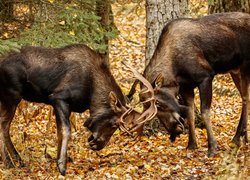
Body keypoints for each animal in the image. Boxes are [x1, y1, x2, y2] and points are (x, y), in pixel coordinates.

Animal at [0, 44, 137, 176]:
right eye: (114, 124)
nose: (99, 145)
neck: (91, 95)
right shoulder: (58, 98)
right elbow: (66, 130)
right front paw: (61, 166)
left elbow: (59, 132)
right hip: (12, 96)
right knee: (3, 125)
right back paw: (9, 163)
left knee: (5, 126)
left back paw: (17, 160)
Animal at [127, 11, 250, 157]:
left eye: (159, 103)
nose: (174, 129)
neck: (176, 73)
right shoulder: (186, 87)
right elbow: (190, 113)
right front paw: (191, 144)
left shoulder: (206, 76)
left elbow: (204, 111)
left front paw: (212, 147)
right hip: (236, 70)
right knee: (245, 97)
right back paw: (241, 137)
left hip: (246, 65)